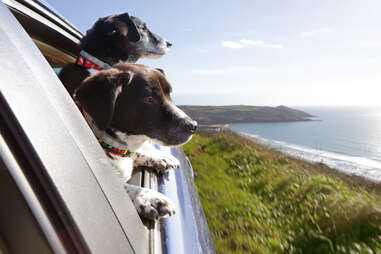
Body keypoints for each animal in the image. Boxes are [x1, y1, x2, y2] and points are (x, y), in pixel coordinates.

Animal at [73, 63, 196, 220]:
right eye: (149, 99)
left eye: (169, 94)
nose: (193, 126)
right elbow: (120, 188)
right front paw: (150, 198)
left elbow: (137, 153)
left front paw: (160, 157)